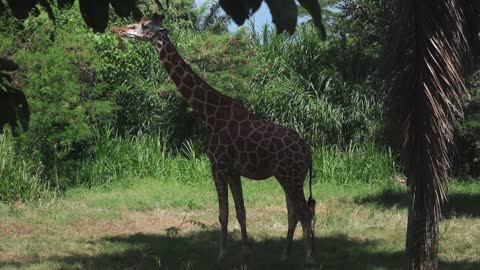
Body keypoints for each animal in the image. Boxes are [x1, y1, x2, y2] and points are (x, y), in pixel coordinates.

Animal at [110, 13, 316, 264]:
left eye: (144, 25)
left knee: (304, 211)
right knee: (294, 211)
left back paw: (309, 259)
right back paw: (285, 255)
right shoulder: (233, 171)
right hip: (287, 176)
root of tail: (308, 151)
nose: (118, 29)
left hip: (291, 176)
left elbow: (223, 214)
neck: (209, 115)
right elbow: (241, 212)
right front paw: (246, 253)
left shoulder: (217, 166)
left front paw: (222, 254)